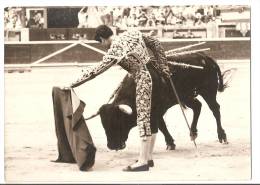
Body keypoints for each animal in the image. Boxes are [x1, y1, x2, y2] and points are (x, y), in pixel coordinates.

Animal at [99, 52, 228, 150]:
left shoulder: (158, 110)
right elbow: (162, 126)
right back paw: (193, 132)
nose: (112, 146)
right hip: (186, 96)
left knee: (215, 109)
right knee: (197, 106)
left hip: (208, 92)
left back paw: (222, 136)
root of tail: (205, 57)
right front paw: (170, 143)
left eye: (119, 122)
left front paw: (170, 144)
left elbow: (161, 126)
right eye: (104, 125)